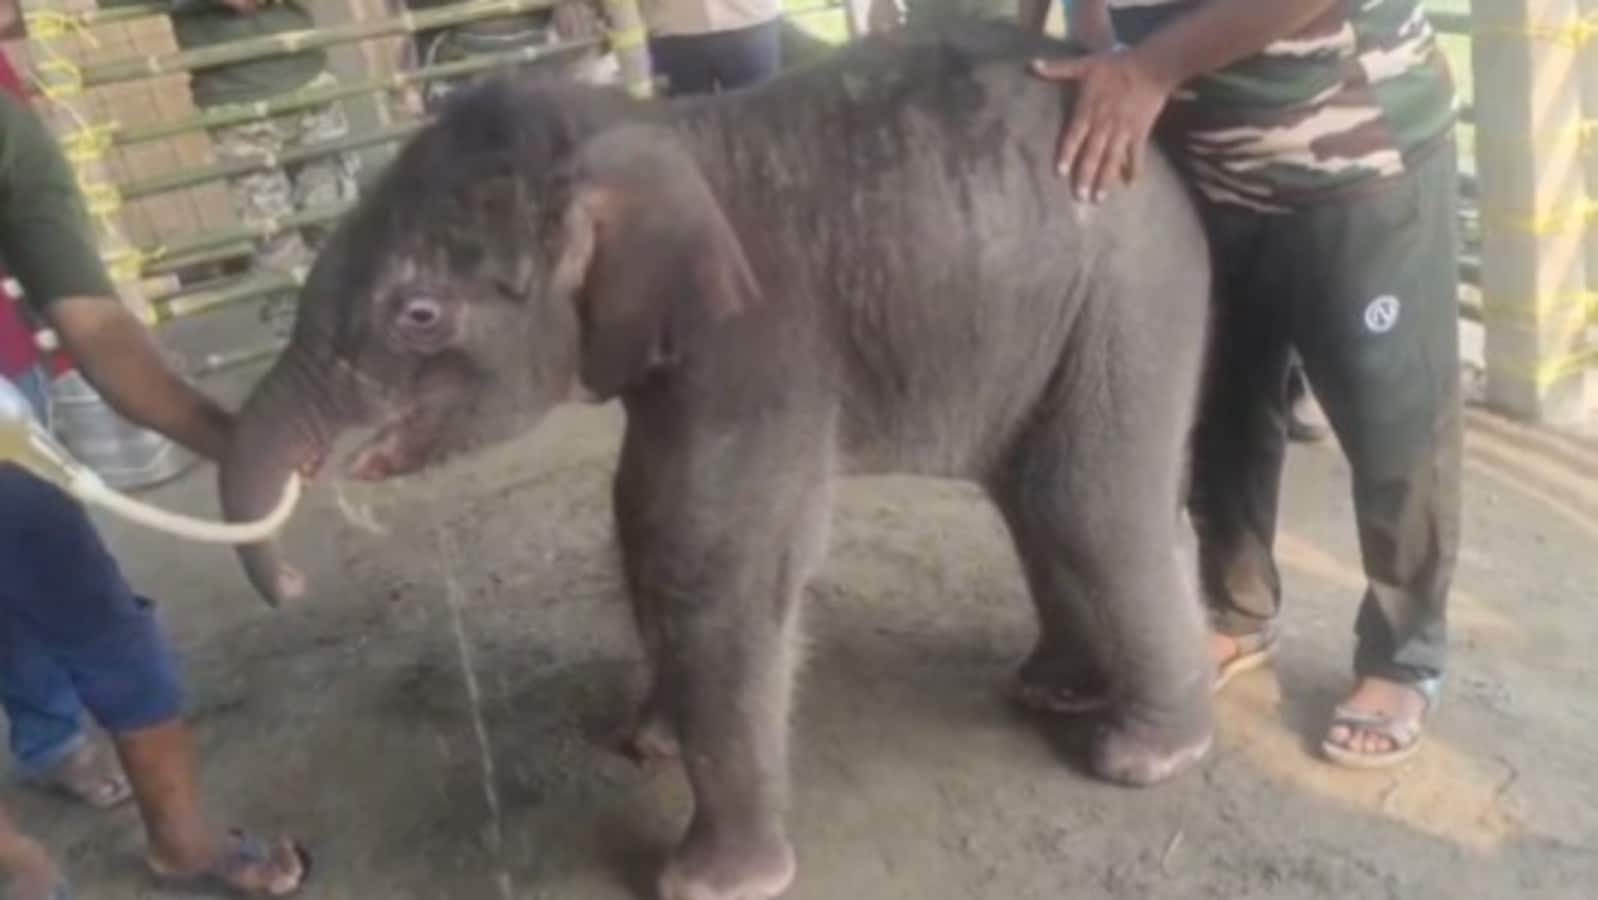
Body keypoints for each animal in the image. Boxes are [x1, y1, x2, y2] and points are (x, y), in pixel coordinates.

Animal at [219, 20, 1216, 900]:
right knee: (1034, 496)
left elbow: (710, 553)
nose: (293, 586)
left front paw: (706, 882)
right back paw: (1054, 689)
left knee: (1084, 502)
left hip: (1130, 295)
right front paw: (650, 739)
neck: (658, 131)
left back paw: (1145, 755)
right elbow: (639, 507)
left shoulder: (761, 343)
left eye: (419, 314)